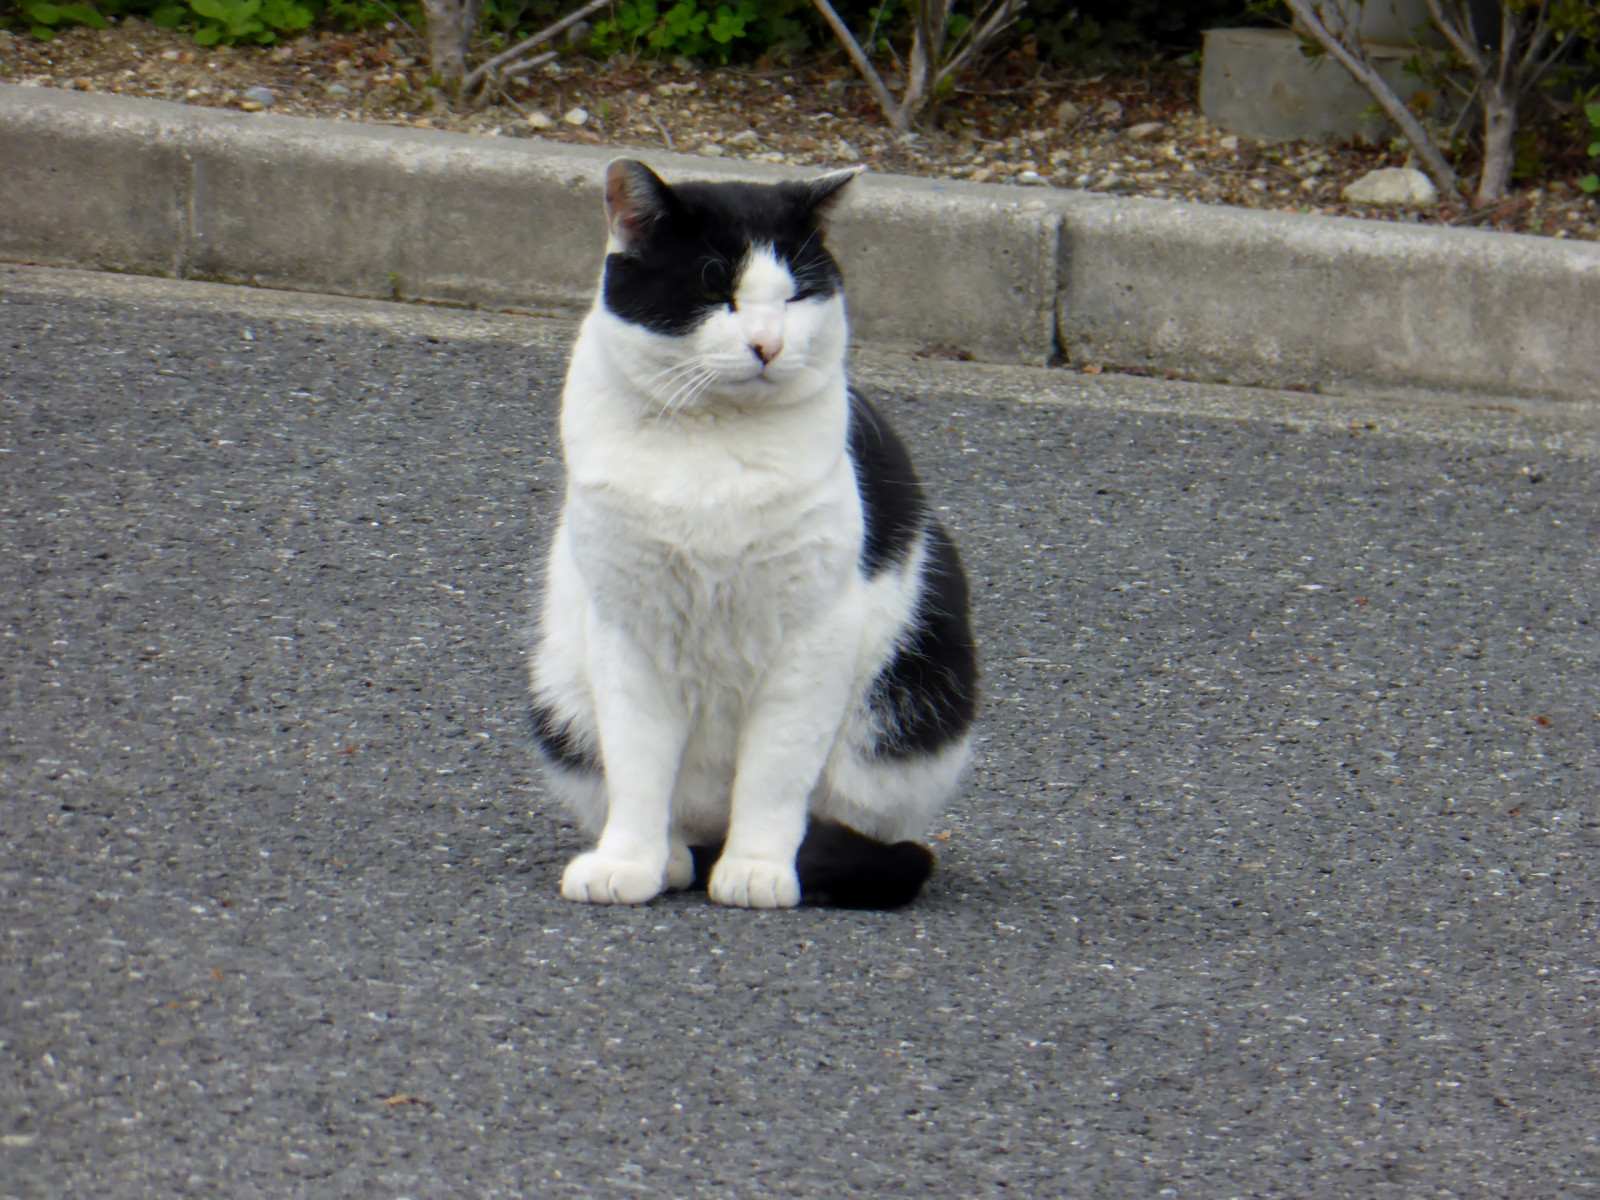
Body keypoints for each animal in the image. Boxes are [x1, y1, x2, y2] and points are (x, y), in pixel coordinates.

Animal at [528, 157, 972, 908]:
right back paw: (673, 858)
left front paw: (758, 869)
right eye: (716, 288)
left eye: (795, 297)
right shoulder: (627, 630)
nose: (768, 343)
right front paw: (628, 863)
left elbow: (773, 772)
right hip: (560, 695)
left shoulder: (813, 636)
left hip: (909, 704)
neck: (715, 442)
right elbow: (638, 766)